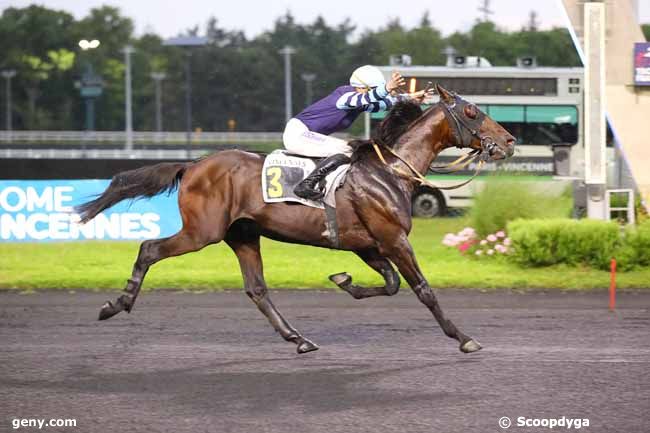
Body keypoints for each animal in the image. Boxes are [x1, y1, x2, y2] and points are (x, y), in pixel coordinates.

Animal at [77, 84, 512, 354]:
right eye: (472, 111)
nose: (507, 141)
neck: (390, 171)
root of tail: (195, 164)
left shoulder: (368, 245)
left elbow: (389, 285)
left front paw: (344, 281)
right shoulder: (392, 239)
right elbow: (422, 290)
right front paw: (463, 337)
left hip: (242, 235)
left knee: (257, 289)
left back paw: (298, 338)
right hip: (203, 231)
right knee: (149, 248)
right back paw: (116, 304)